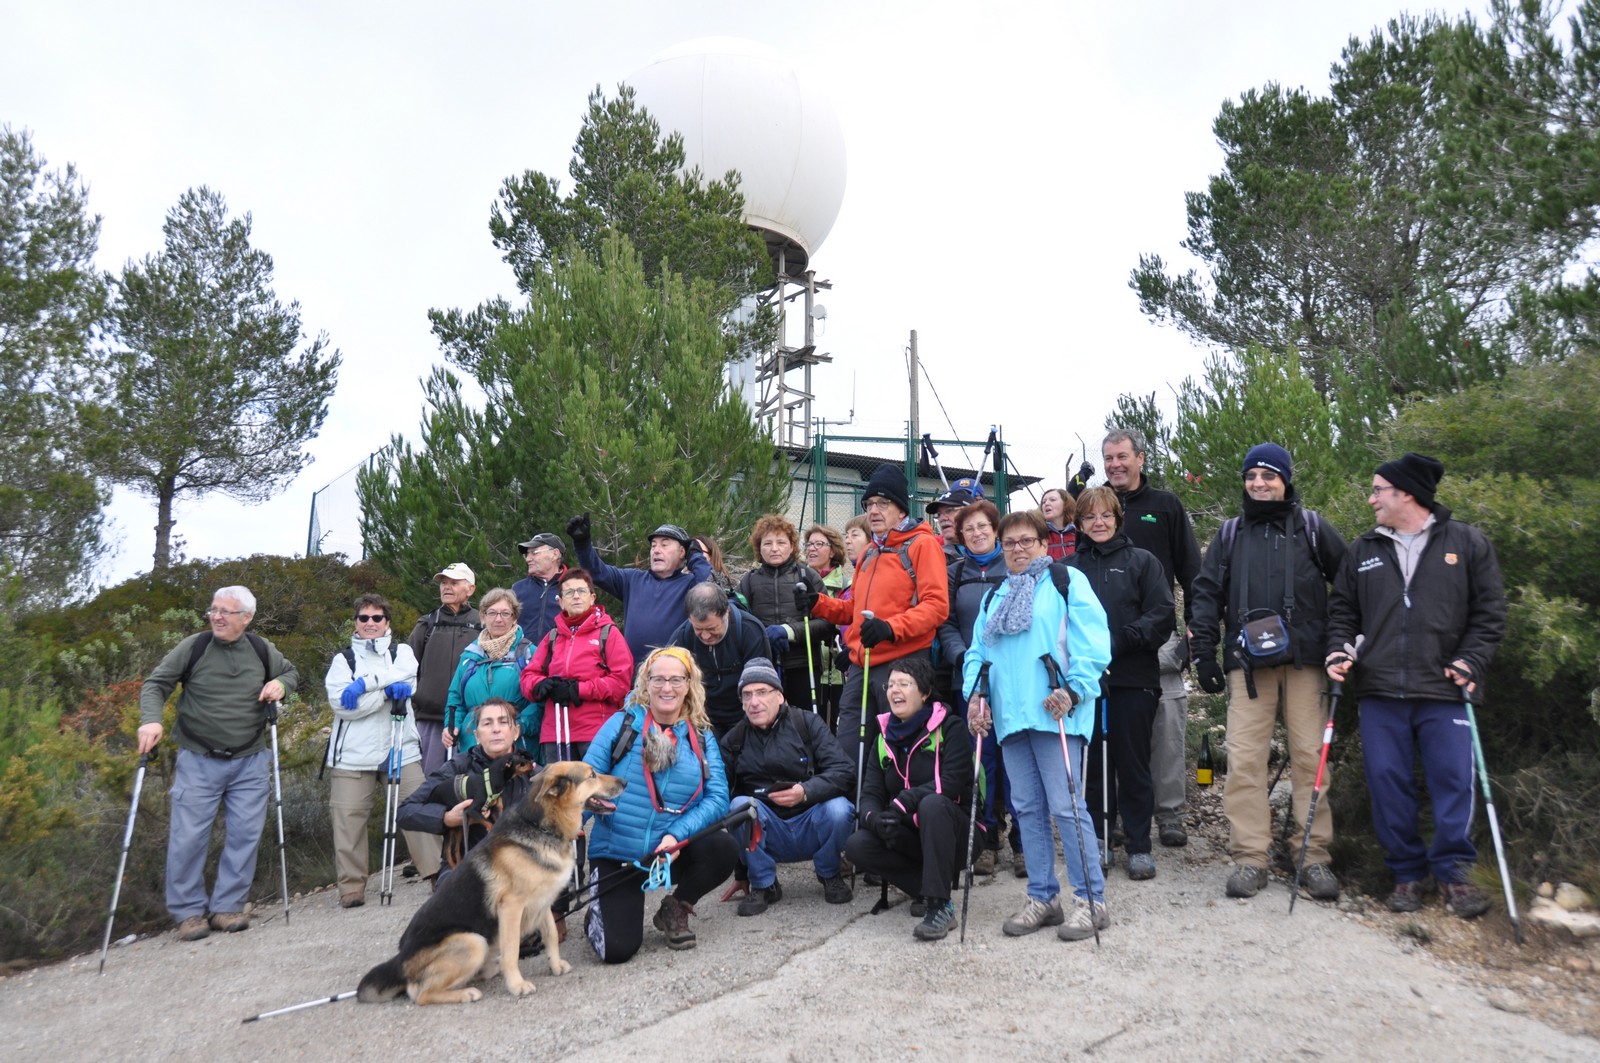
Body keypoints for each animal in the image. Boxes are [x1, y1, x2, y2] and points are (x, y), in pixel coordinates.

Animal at [358, 760, 624, 1005]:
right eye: (592, 775)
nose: (625, 782)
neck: (541, 828)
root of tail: (399, 962)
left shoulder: (543, 903)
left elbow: (550, 935)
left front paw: (556, 965)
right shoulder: (511, 908)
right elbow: (512, 950)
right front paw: (516, 985)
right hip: (473, 941)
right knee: (419, 993)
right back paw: (466, 993)